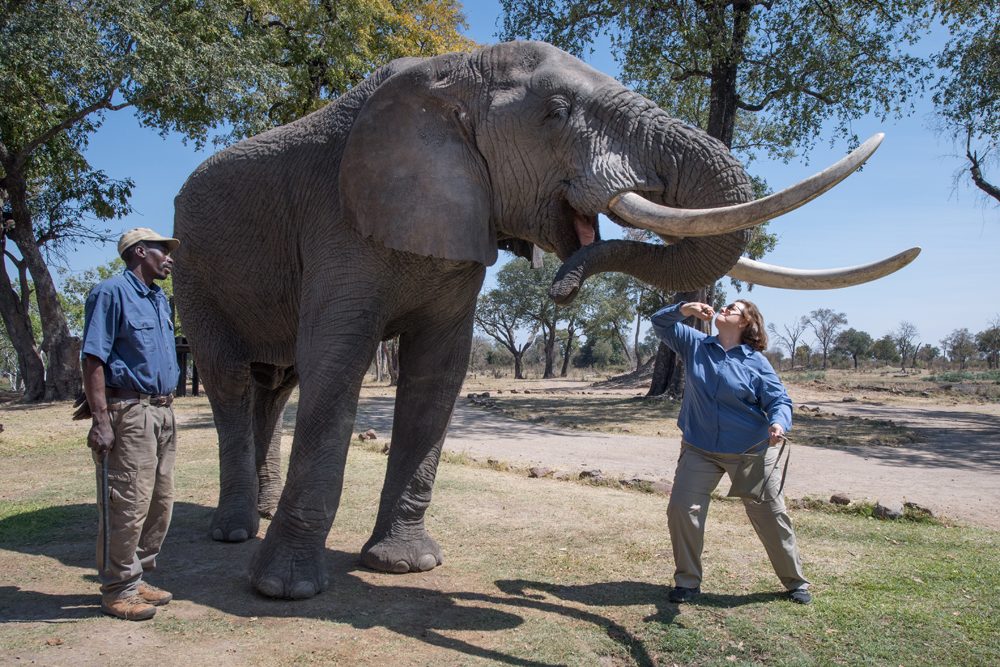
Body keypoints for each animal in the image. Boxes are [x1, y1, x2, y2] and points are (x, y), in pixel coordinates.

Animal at [170, 39, 916, 600]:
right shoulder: (337, 217)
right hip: (193, 267)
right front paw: (284, 592)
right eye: (557, 112)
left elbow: (438, 376)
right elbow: (337, 365)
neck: (448, 71)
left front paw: (404, 567)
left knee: (275, 385)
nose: (560, 288)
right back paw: (235, 531)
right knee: (232, 381)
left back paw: (259, 513)